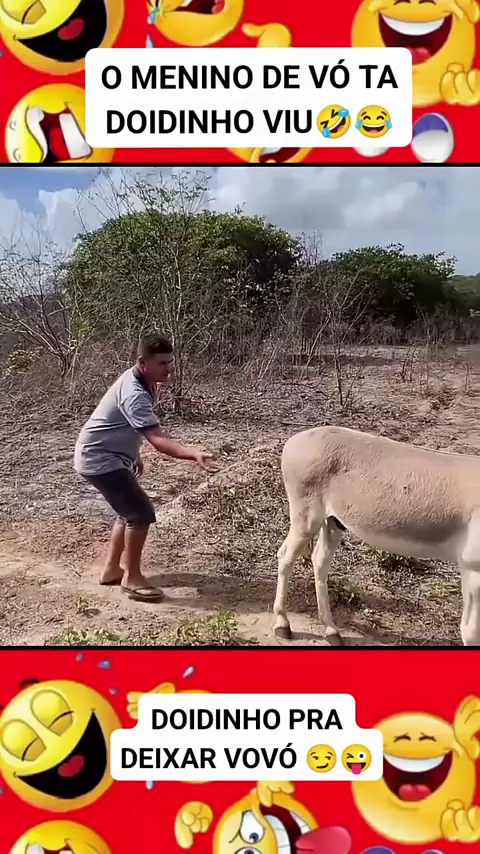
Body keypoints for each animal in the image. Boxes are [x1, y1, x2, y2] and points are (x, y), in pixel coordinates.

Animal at [273, 425, 480, 646]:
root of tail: (294, 440)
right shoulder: (472, 568)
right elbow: (471, 631)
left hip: (333, 522)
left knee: (319, 560)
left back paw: (331, 631)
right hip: (306, 519)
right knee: (286, 556)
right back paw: (282, 625)